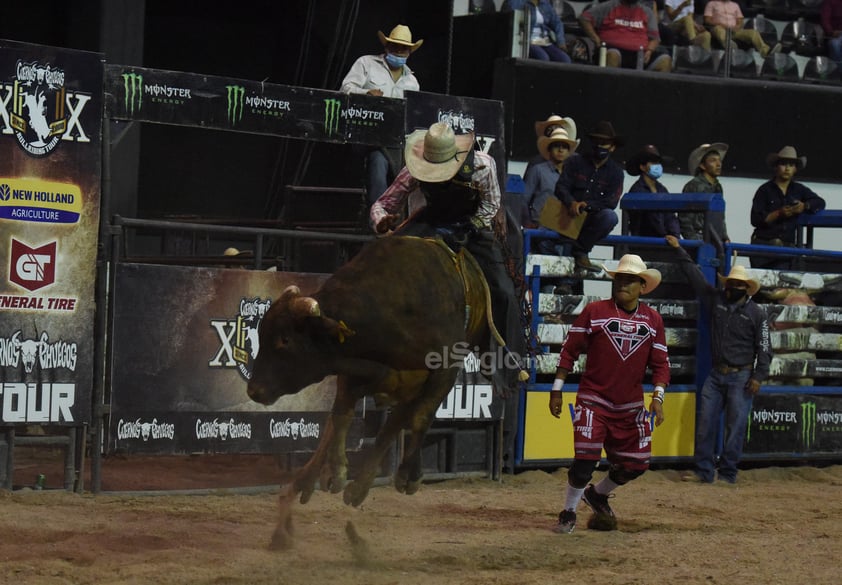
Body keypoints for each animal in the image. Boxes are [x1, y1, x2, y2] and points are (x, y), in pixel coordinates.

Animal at [244, 235, 520, 548]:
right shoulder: (354, 366)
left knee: (404, 418)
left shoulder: (444, 366)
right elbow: (342, 415)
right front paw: (337, 471)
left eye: (285, 340)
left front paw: (403, 476)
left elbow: (417, 418)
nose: (254, 390)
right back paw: (312, 480)